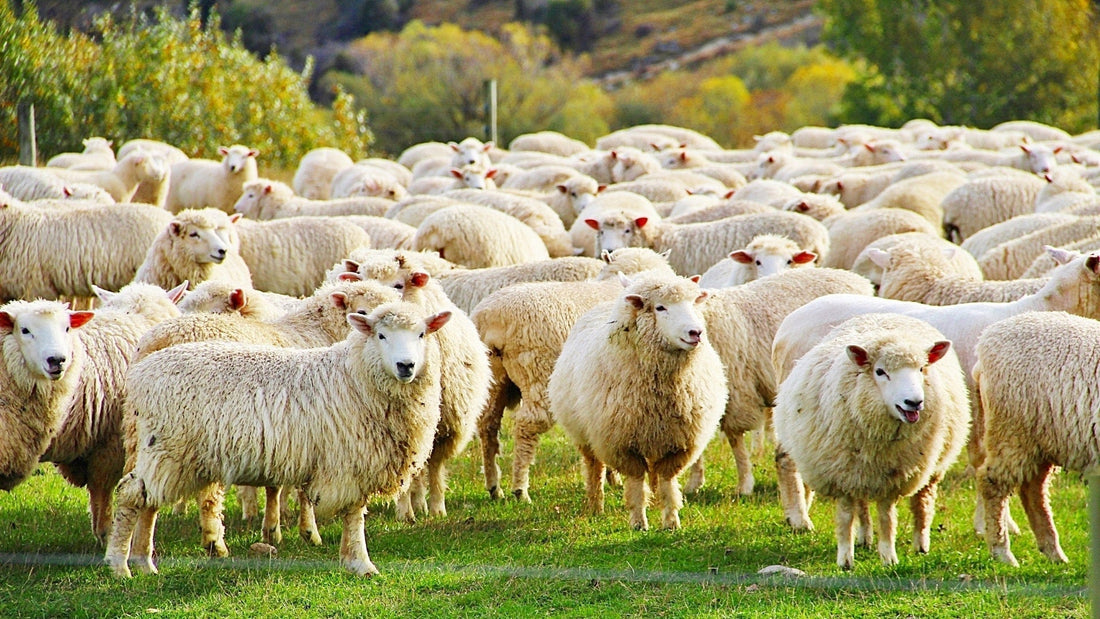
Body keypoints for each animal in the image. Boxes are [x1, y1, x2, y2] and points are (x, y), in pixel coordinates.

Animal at [105, 301, 450, 578]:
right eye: (381, 335)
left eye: (422, 334)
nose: (406, 365)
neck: (356, 376)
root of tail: (141, 372)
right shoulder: (349, 460)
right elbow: (354, 515)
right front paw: (360, 563)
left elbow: (352, 515)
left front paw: (351, 559)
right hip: (166, 446)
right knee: (132, 496)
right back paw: (120, 566)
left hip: (166, 452)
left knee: (148, 502)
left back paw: (143, 562)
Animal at [473, 247, 677, 502]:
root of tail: (491, 317)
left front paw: (612, 478)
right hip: (537, 373)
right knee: (526, 426)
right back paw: (520, 489)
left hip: (494, 377)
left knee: (488, 424)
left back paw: (494, 486)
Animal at [549, 272, 727, 530]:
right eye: (660, 307)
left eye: (693, 302)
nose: (696, 332)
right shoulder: (621, 444)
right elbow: (635, 482)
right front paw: (638, 522)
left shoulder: (680, 443)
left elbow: (667, 481)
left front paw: (671, 521)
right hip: (585, 434)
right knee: (594, 468)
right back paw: (595, 506)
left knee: (652, 472)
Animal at [772, 313, 969, 568]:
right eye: (880, 372)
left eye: (921, 368)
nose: (914, 402)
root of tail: (886, 315)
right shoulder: (843, 474)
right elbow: (846, 515)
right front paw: (845, 559)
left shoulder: (894, 476)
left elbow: (887, 517)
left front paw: (888, 557)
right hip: (859, 469)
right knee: (861, 503)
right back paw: (863, 537)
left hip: (931, 465)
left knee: (922, 501)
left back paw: (920, 544)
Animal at [973, 310, 1097, 566]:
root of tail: (984, 342)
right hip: (1012, 431)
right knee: (992, 482)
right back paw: (1002, 552)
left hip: (1042, 441)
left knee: (1033, 491)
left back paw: (1053, 553)